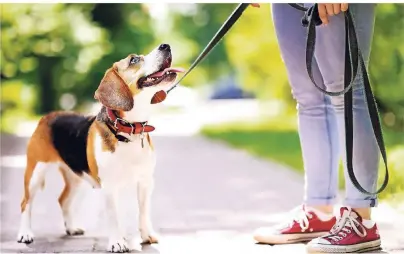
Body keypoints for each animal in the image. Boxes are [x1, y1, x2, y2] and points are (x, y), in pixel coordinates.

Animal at [16, 43, 184, 252]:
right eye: (134, 60)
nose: (165, 45)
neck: (129, 131)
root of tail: (48, 116)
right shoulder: (110, 187)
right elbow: (114, 216)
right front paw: (117, 242)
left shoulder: (145, 182)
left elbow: (143, 212)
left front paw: (146, 236)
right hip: (35, 172)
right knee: (25, 203)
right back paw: (25, 234)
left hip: (76, 177)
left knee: (63, 200)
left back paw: (71, 228)